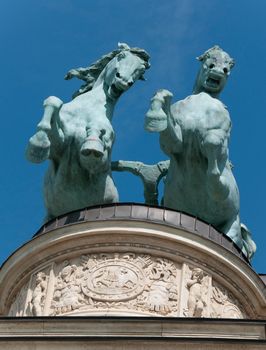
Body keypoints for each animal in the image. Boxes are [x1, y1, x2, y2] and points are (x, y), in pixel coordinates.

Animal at [27, 42, 151, 220]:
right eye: (121, 56)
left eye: (140, 70)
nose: (123, 81)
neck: (88, 108)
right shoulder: (58, 148)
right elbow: (53, 101)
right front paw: (37, 145)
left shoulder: (99, 161)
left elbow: (96, 145)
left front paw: (92, 141)